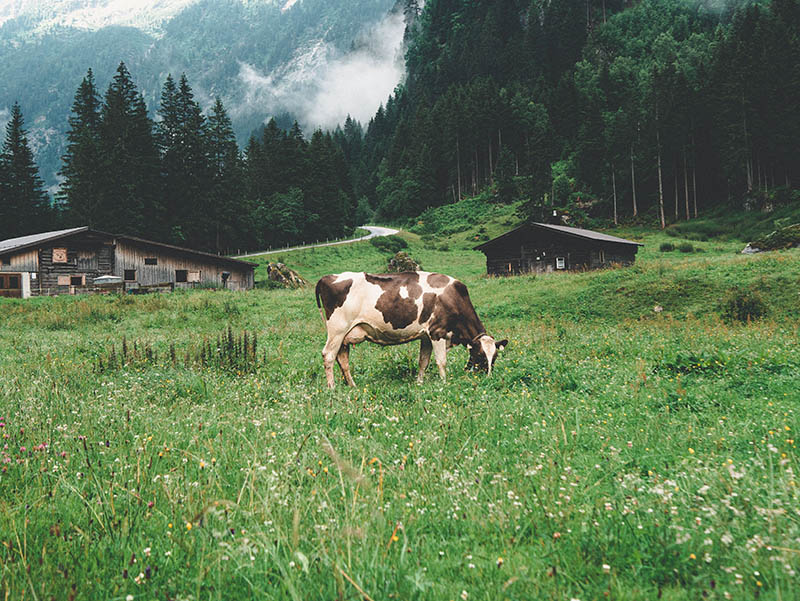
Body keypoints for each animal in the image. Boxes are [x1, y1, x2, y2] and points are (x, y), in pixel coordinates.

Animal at [314, 272, 506, 390]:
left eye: (495, 356)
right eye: (480, 355)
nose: (488, 378)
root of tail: (328, 277)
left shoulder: (426, 336)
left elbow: (423, 361)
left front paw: (419, 383)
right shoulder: (437, 332)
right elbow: (441, 361)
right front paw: (444, 383)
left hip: (345, 335)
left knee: (342, 359)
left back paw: (352, 385)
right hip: (337, 330)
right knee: (328, 355)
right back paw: (332, 387)